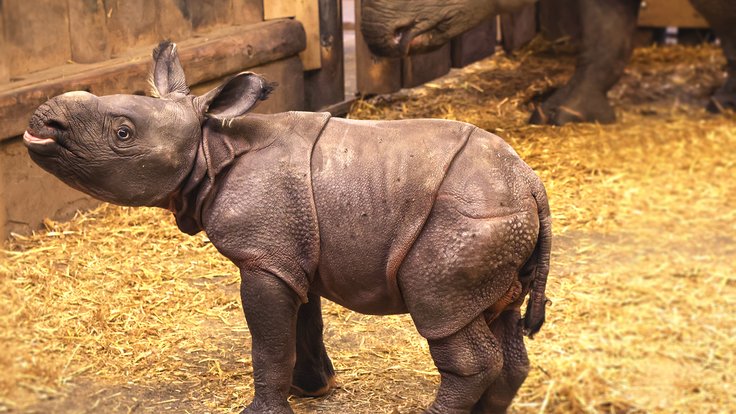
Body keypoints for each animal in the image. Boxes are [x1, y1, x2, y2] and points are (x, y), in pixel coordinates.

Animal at [24, 41, 551, 414]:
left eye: (122, 133)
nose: (41, 119)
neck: (211, 146)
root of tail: (531, 183)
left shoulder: (262, 257)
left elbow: (269, 341)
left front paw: (263, 409)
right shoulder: (289, 252)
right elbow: (303, 323)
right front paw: (313, 389)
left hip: (466, 221)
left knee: (447, 319)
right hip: (498, 219)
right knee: (498, 320)